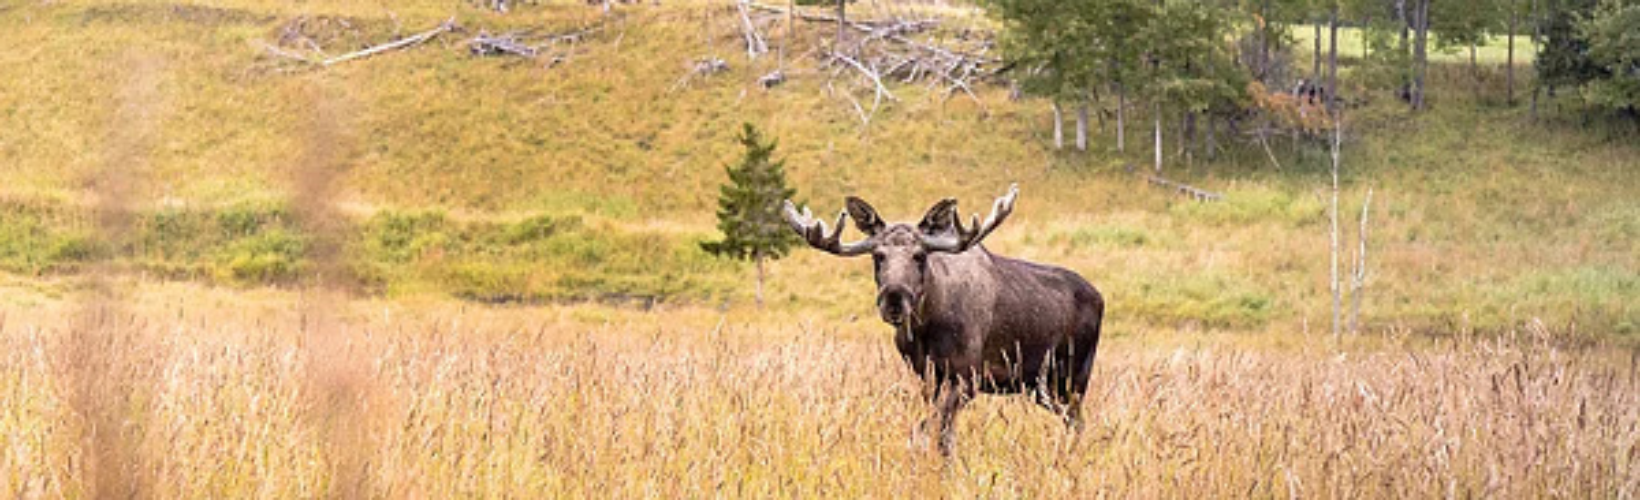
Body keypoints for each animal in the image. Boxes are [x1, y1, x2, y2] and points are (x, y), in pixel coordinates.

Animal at [782, 184, 1105, 456]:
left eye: (919, 255)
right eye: (878, 255)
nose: (894, 299)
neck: (926, 328)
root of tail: (1100, 297)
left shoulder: (968, 374)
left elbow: (937, 430)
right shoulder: (927, 376)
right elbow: (938, 431)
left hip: (1075, 375)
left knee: (1077, 421)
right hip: (1042, 386)